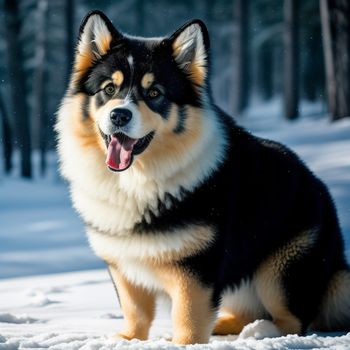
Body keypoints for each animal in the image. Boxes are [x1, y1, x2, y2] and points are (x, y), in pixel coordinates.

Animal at [55, 9, 350, 344]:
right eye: (108, 89)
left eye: (154, 93)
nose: (119, 115)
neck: (139, 181)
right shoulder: (123, 264)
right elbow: (135, 312)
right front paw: (128, 339)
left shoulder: (196, 268)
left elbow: (188, 316)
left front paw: (184, 344)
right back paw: (224, 324)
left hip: (282, 267)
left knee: (294, 319)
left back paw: (261, 331)